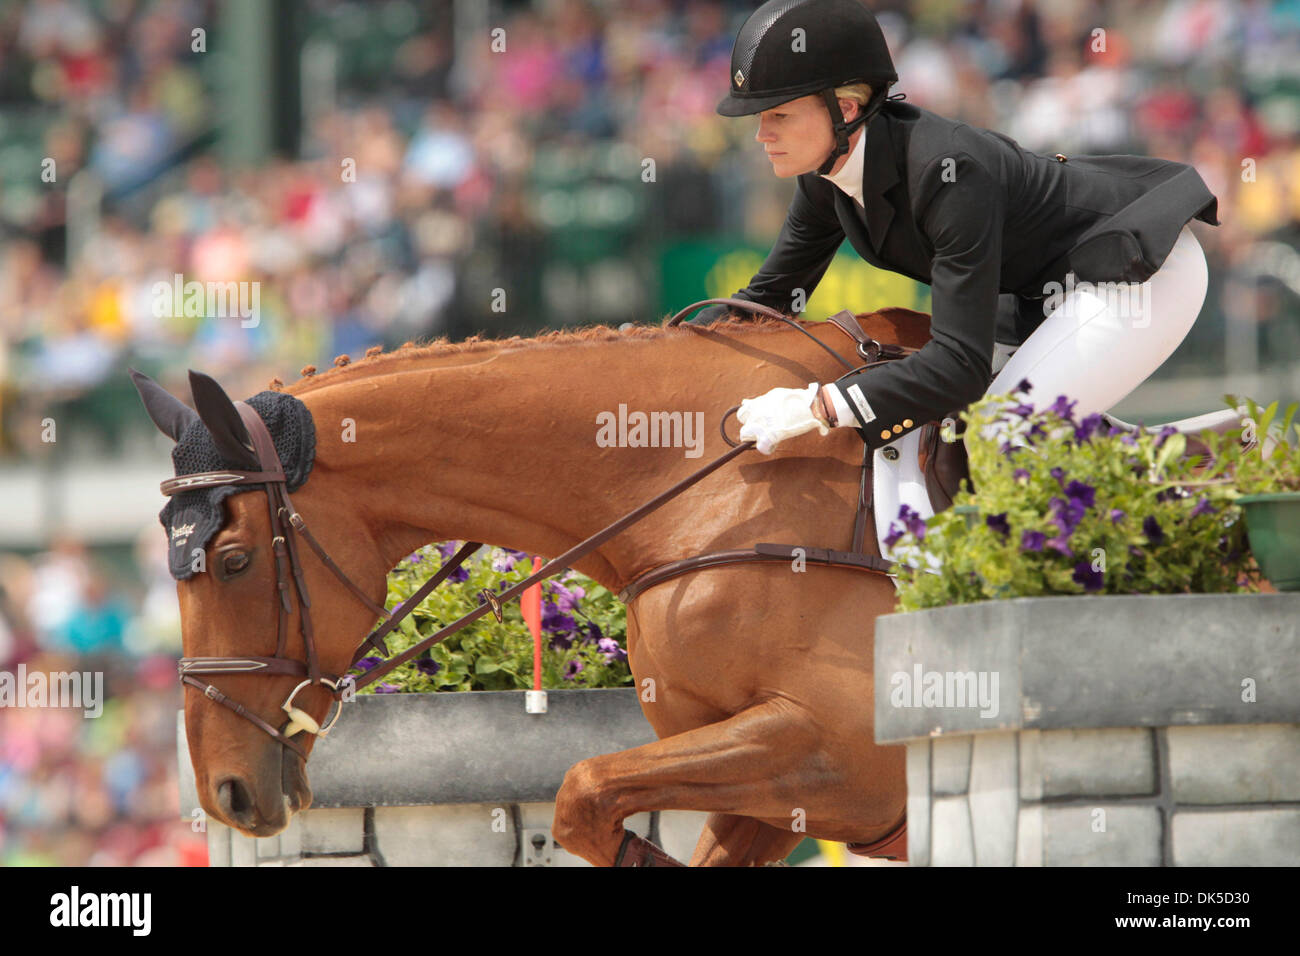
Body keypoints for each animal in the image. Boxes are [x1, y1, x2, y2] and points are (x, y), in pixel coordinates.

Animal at [131, 310, 977, 868]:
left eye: (235, 560)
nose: (226, 792)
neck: (721, 478)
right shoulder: (769, 787)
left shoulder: (832, 750)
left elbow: (584, 790)